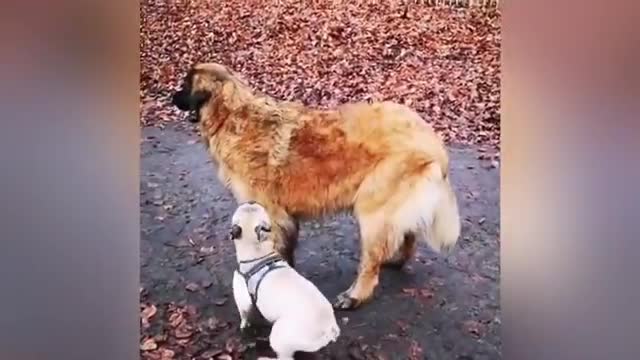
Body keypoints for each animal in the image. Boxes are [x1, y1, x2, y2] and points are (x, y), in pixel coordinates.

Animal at [170, 62, 460, 310]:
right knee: (407, 234)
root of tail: (433, 140)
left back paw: (355, 295)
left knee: (371, 262)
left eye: (185, 84)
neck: (231, 115)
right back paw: (396, 260)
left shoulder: (269, 213)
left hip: (373, 209)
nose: (170, 97)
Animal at [230, 201, 340, 358]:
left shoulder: (242, 298)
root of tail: (329, 328)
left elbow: (244, 314)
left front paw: (244, 325)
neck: (259, 251)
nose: (251, 201)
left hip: (279, 337)